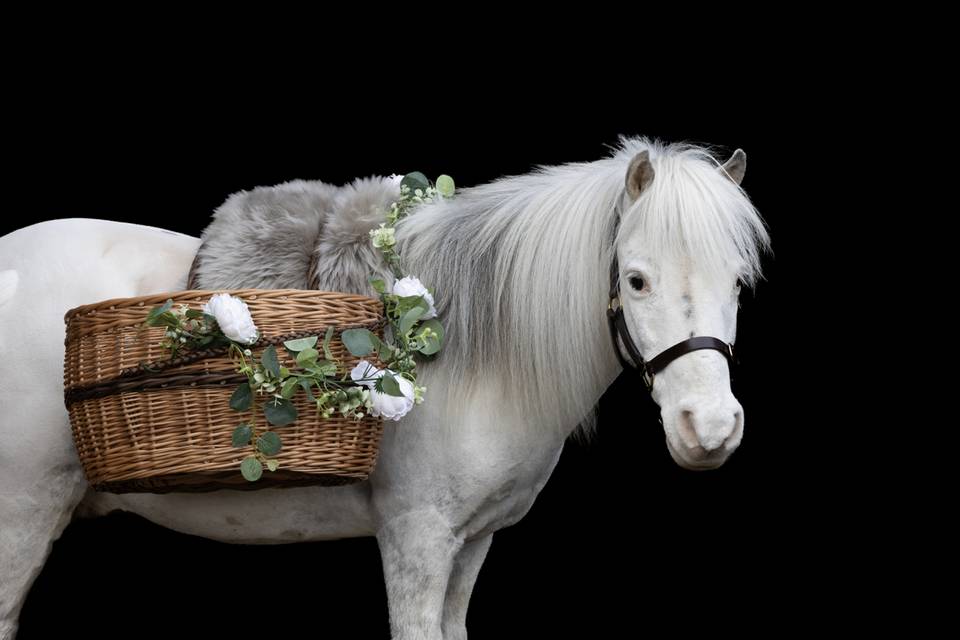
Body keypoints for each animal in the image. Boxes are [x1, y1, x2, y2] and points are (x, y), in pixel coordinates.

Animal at [0, 137, 769, 640]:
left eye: (738, 282)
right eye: (636, 280)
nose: (709, 428)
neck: (473, 346)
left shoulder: (471, 544)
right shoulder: (417, 539)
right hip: (23, 512)